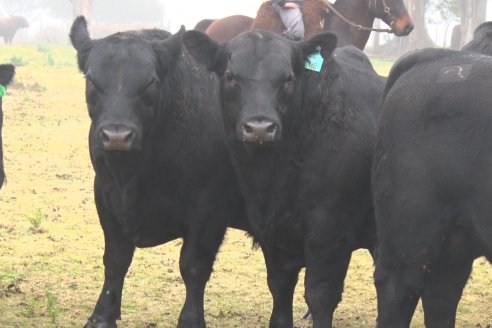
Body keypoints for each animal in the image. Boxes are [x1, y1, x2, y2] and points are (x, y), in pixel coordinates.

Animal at [68, 17, 248, 328]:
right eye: (91, 79)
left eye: (150, 82)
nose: (117, 136)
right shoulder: (106, 197)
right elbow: (115, 259)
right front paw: (102, 314)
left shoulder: (209, 210)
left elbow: (193, 266)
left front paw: (190, 320)